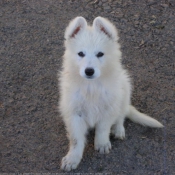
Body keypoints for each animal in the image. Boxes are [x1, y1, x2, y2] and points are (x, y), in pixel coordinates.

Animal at [59, 16, 164, 171]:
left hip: (124, 90)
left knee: (121, 115)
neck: (92, 86)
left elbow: (103, 129)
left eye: (100, 54)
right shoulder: (74, 113)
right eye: (81, 54)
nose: (89, 71)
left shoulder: (108, 108)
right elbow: (76, 139)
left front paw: (102, 144)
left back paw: (118, 130)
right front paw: (72, 159)